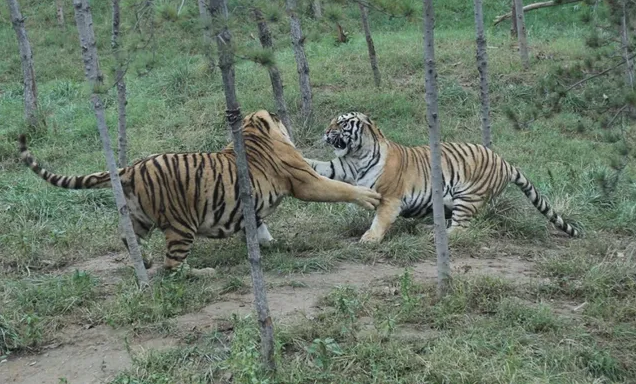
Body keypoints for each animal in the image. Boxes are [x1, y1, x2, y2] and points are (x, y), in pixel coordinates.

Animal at [17, 109, 380, 274]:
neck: (252, 130)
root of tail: (130, 168)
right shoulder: (305, 181)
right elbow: (338, 187)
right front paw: (368, 198)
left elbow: (258, 222)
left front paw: (267, 242)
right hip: (181, 226)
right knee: (173, 266)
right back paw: (201, 272)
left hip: (138, 217)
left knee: (128, 239)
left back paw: (144, 261)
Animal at [306, 111, 580, 243]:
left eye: (342, 124)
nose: (326, 132)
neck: (357, 154)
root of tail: (505, 161)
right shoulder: (340, 167)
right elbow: (316, 168)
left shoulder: (391, 198)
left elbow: (380, 220)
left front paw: (370, 239)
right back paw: (429, 227)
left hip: (467, 197)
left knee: (462, 229)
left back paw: (433, 234)